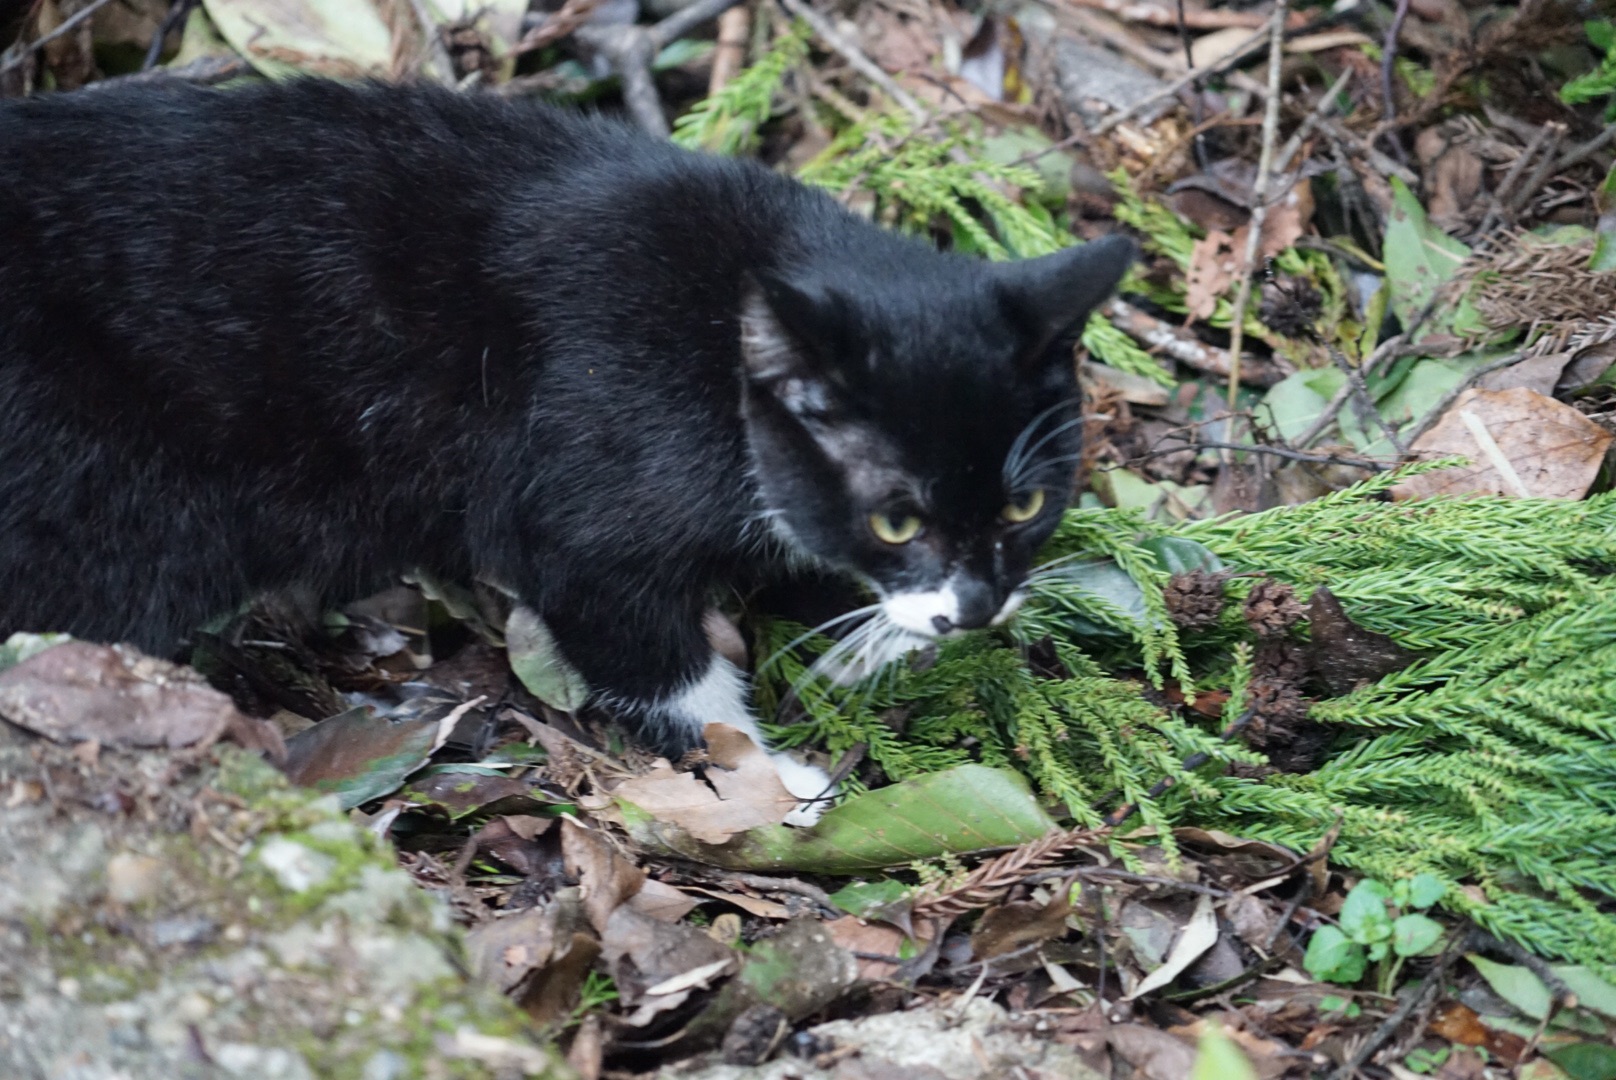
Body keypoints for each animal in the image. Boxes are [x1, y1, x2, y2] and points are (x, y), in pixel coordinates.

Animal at [0, 82, 1137, 808]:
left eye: (1025, 504)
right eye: (897, 517)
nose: (977, 606)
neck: (715, 349)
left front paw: (866, 632)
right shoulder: (587, 487)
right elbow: (646, 648)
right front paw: (775, 777)